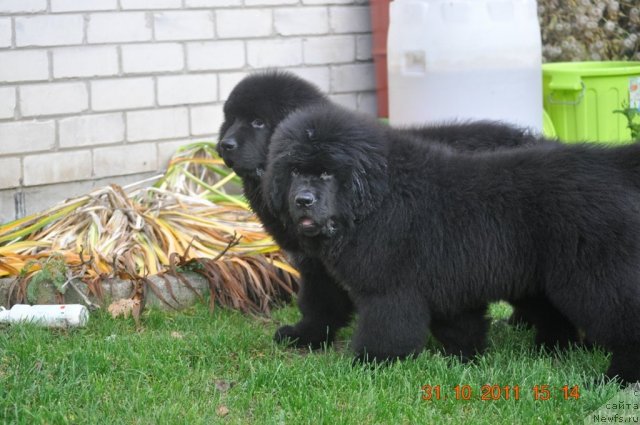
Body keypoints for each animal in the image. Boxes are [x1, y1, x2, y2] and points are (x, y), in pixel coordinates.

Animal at [218, 70, 564, 352]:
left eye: (258, 122)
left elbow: (318, 303)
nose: (224, 145)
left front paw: (308, 335)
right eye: (230, 119)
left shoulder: (325, 263)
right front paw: (310, 336)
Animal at [262, 104, 640, 382]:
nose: (303, 200)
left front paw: (369, 364)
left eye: (327, 172)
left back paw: (619, 376)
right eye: (294, 170)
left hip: (593, 277)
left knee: (624, 320)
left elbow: (386, 329)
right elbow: (459, 326)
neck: (378, 197)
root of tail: (615, 167)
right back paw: (552, 351)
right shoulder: (446, 281)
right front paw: (466, 359)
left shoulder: (391, 290)